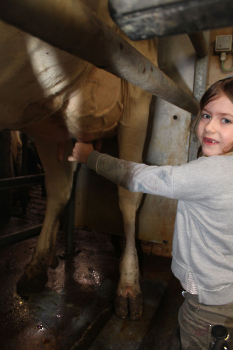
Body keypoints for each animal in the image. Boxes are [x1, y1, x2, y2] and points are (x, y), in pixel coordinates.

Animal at [0, 0, 157, 318]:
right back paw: (36, 269)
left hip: (138, 93)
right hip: (43, 118)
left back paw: (128, 288)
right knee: (60, 185)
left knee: (128, 195)